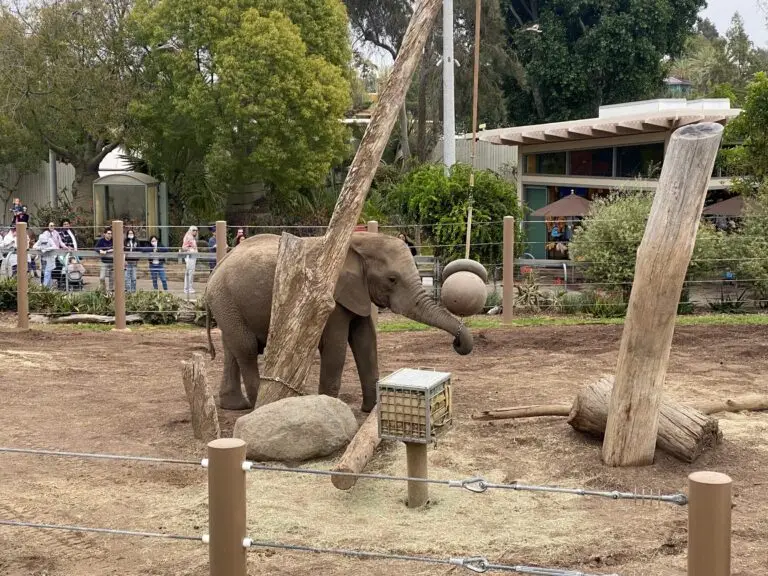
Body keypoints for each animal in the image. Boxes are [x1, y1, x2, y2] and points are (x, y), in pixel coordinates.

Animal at [204, 232, 474, 412]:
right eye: (392, 279)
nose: (458, 343)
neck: (357, 241)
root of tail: (216, 268)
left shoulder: (358, 292)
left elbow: (366, 342)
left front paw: (371, 410)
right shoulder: (329, 295)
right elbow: (336, 347)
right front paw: (331, 407)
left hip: (228, 303)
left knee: (233, 347)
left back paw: (235, 405)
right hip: (227, 298)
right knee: (247, 348)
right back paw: (259, 405)